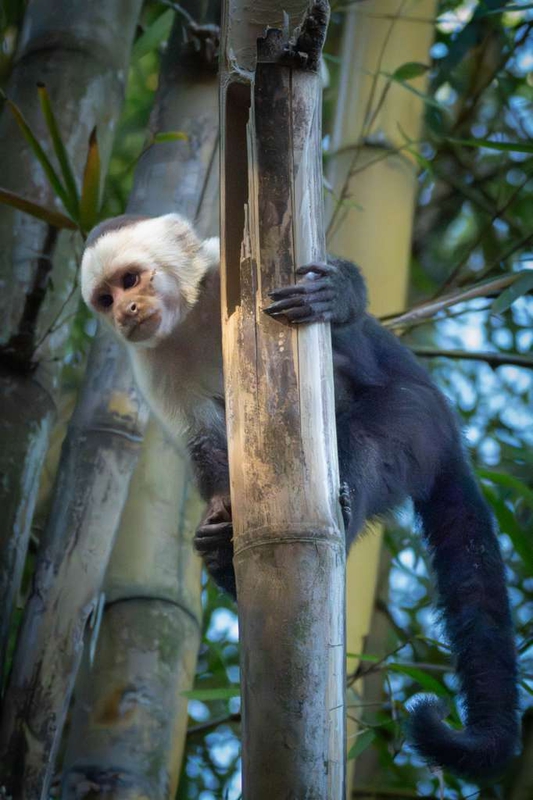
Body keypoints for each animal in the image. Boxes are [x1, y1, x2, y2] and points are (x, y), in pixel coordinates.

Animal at [80, 212, 519, 781]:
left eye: (131, 279)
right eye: (105, 298)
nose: (125, 311)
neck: (192, 319)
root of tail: (451, 437)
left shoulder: (226, 272)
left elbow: (348, 340)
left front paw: (339, 294)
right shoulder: (151, 363)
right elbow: (203, 446)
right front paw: (219, 518)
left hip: (420, 422)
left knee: (370, 432)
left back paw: (340, 519)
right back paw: (223, 559)